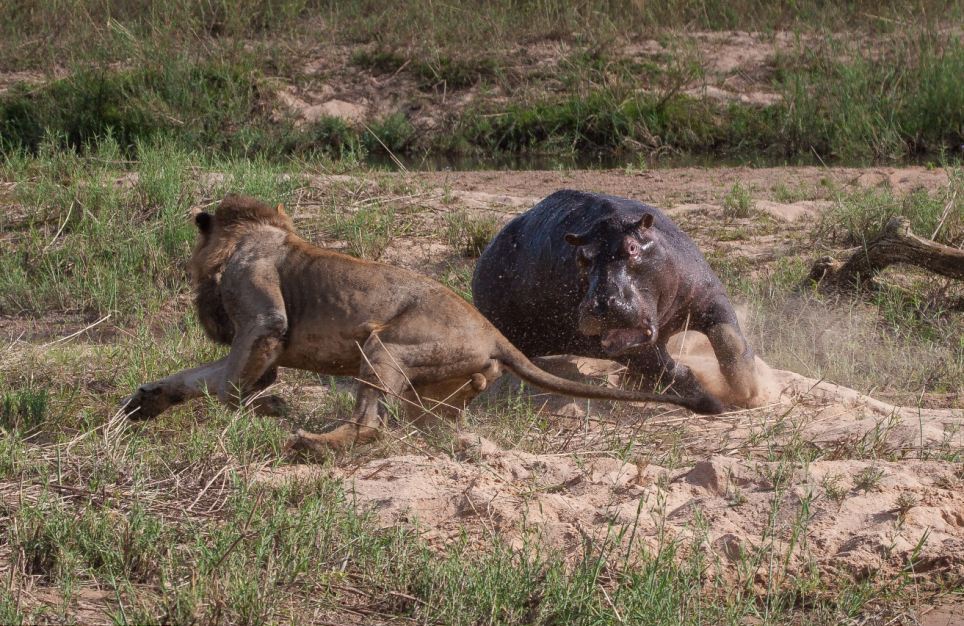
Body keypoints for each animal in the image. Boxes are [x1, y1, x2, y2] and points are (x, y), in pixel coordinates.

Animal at [122, 193, 724, 450]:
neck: (253, 234)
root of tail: (493, 333)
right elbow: (196, 378)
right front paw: (146, 401)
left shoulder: (262, 319)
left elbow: (228, 382)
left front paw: (263, 407)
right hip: (435, 386)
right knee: (431, 421)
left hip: (384, 347)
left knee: (370, 421)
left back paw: (315, 442)